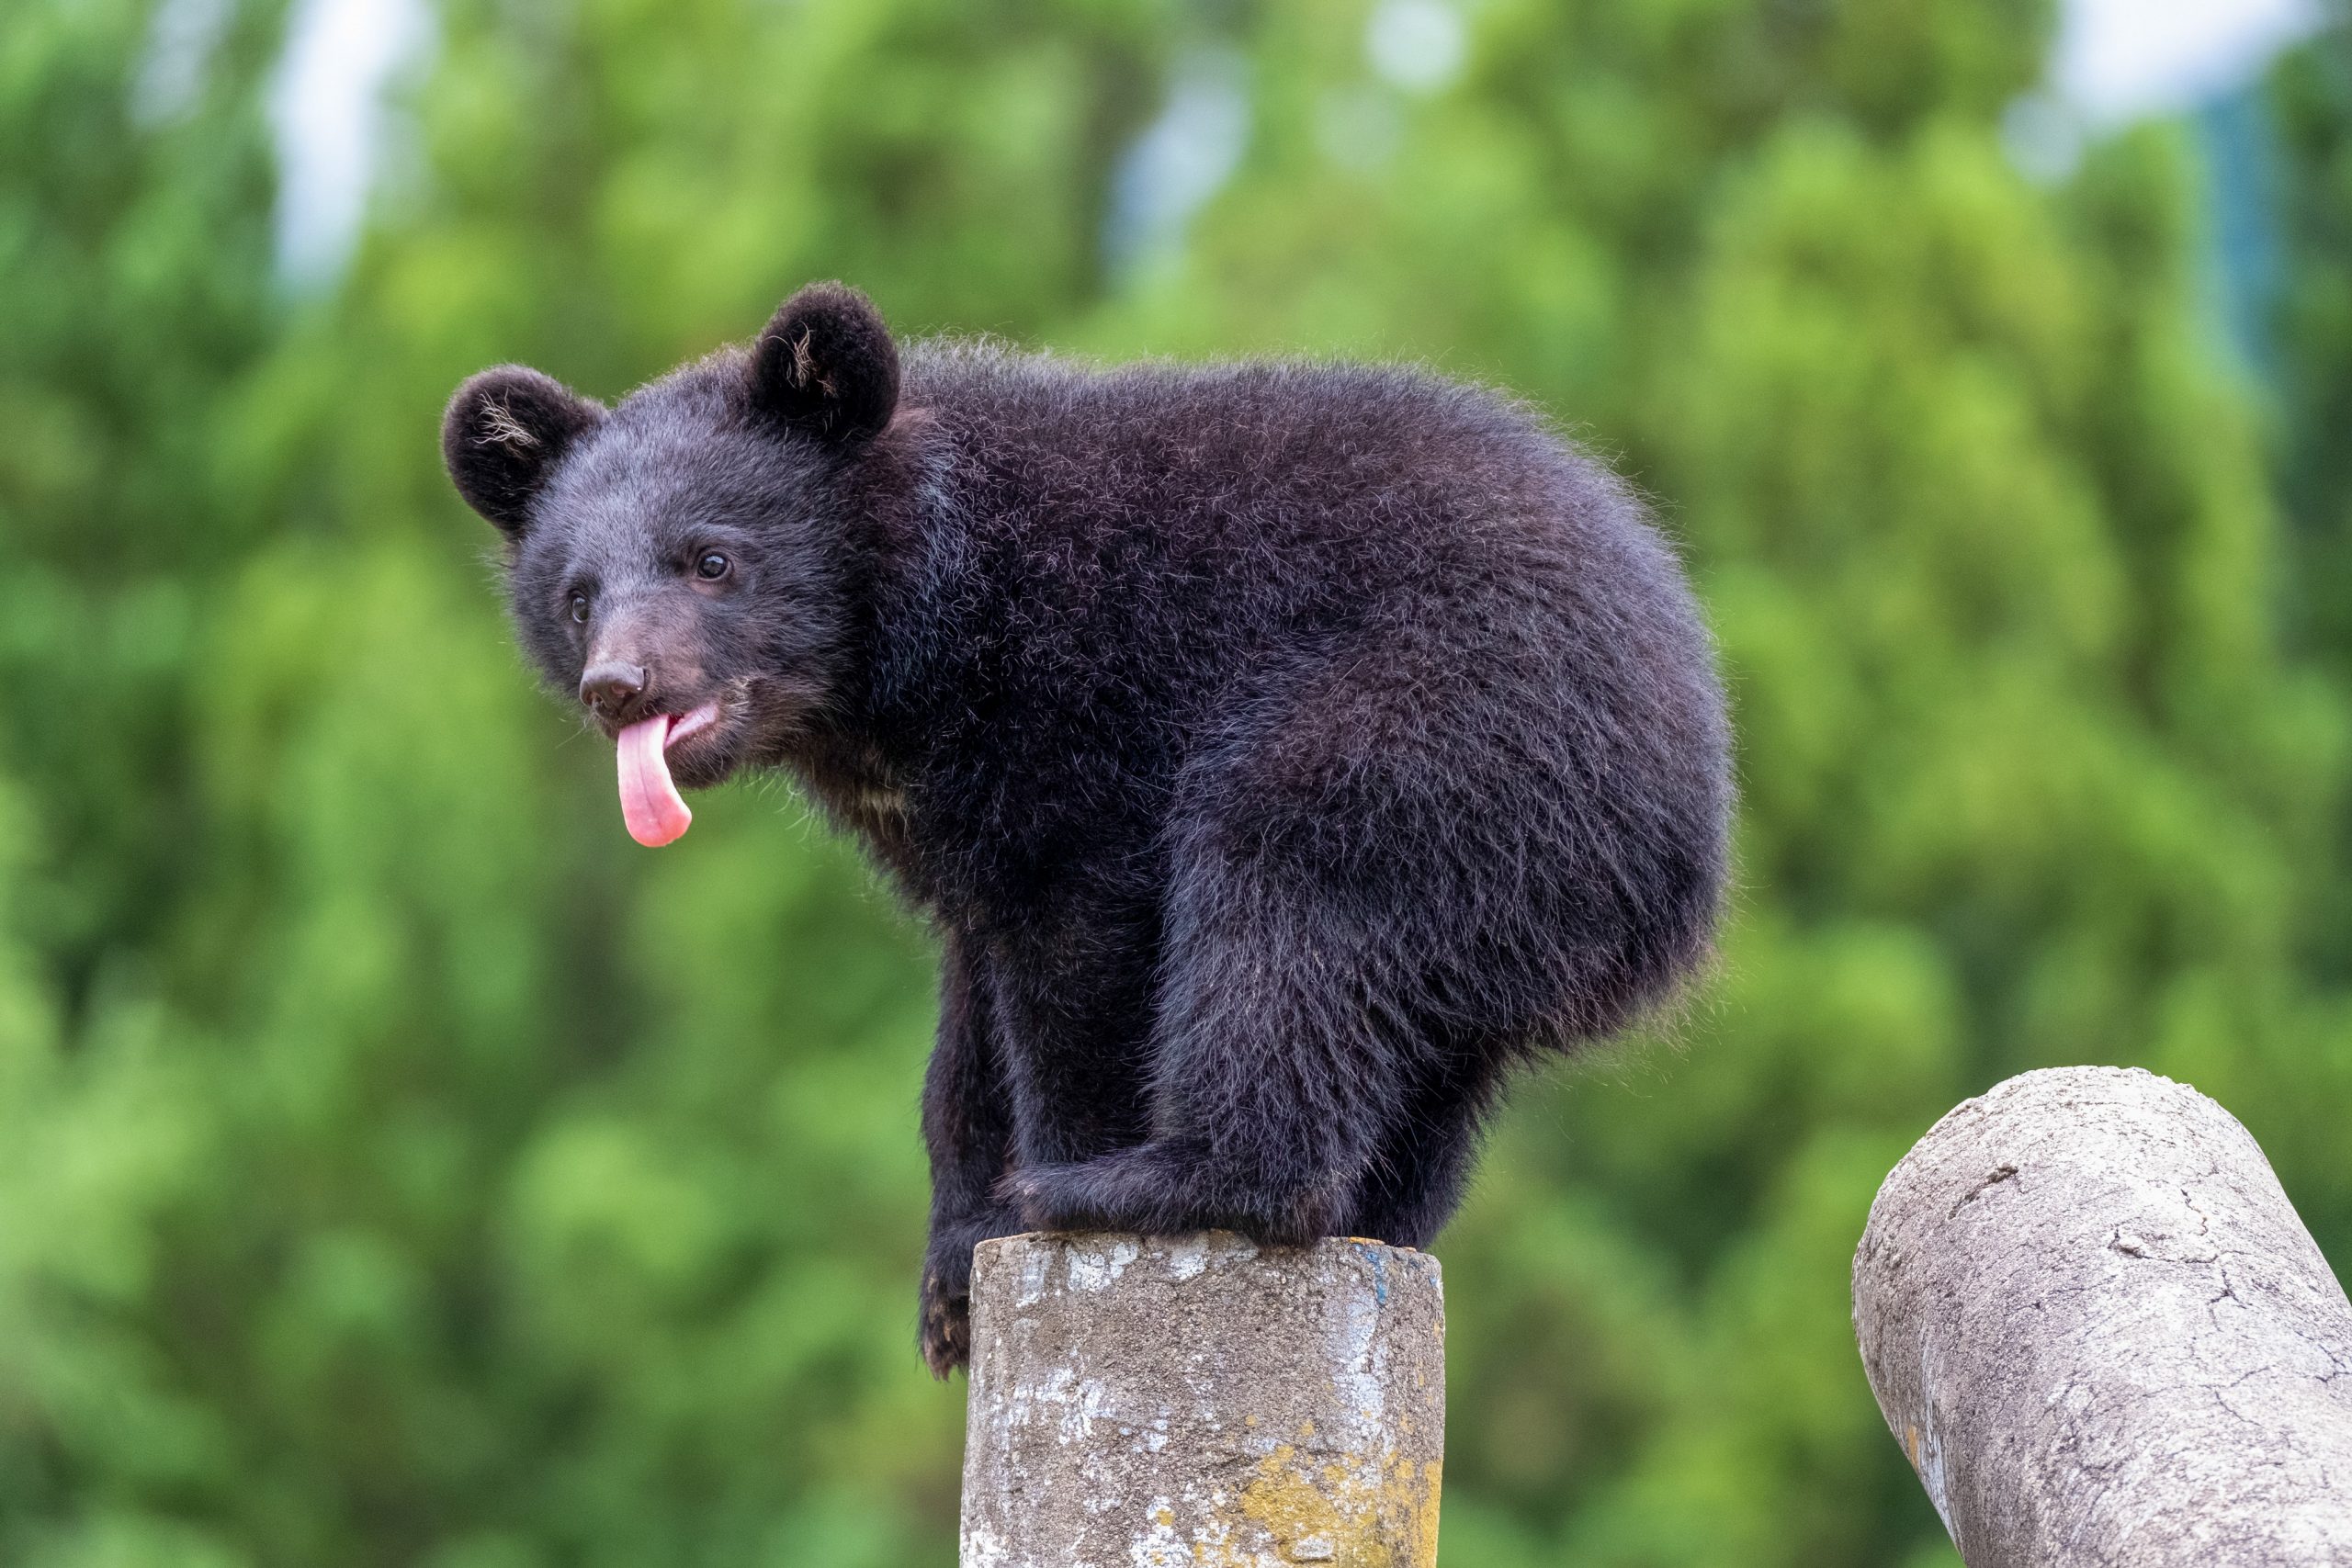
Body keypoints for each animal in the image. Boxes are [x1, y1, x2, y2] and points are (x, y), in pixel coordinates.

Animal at [444, 278, 1731, 1372]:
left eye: (712, 559)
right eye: (577, 596)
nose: (621, 686)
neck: (897, 671)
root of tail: (1692, 826)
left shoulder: (1076, 728)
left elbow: (1074, 968)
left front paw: (1040, 1195)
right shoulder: (953, 832)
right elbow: (965, 1026)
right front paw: (950, 1280)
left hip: (1431, 737)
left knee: (1281, 907)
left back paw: (1155, 1184)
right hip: (1501, 901)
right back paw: (1379, 1219)